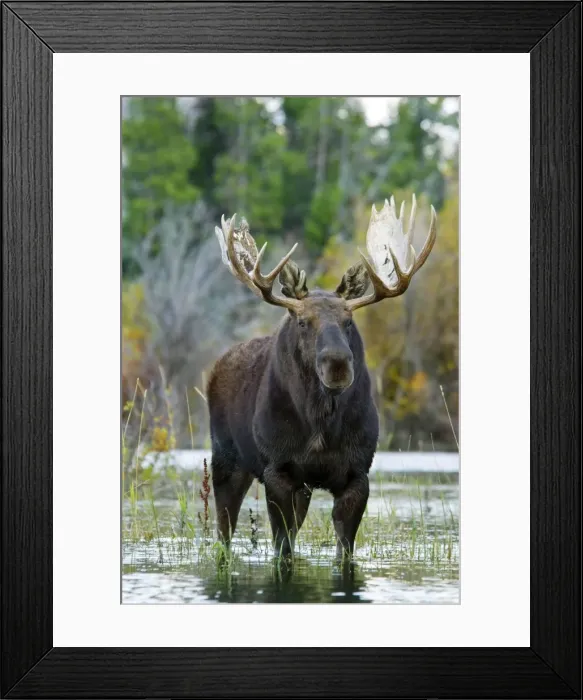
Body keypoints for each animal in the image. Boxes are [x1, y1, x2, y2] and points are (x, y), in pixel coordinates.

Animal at [208, 195, 436, 559]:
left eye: (348, 321)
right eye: (303, 322)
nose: (338, 364)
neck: (320, 426)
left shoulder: (356, 475)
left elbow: (344, 551)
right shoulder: (278, 471)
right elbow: (283, 550)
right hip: (225, 459)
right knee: (223, 530)